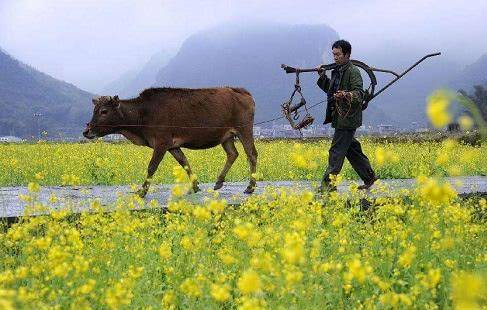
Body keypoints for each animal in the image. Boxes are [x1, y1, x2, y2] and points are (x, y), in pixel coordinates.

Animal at [84, 86, 260, 197]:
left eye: (104, 111)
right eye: (94, 110)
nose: (87, 131)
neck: (143, 114)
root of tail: (242, 91)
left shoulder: (161, 142)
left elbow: (152, 167)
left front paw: (142, 192)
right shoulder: (172, 145)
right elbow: (184, 162)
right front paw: (195, 186)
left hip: (244, 130)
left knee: (251, 154)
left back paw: (250, 187)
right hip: (226, 136)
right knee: (233, 154)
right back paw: (218, 182)